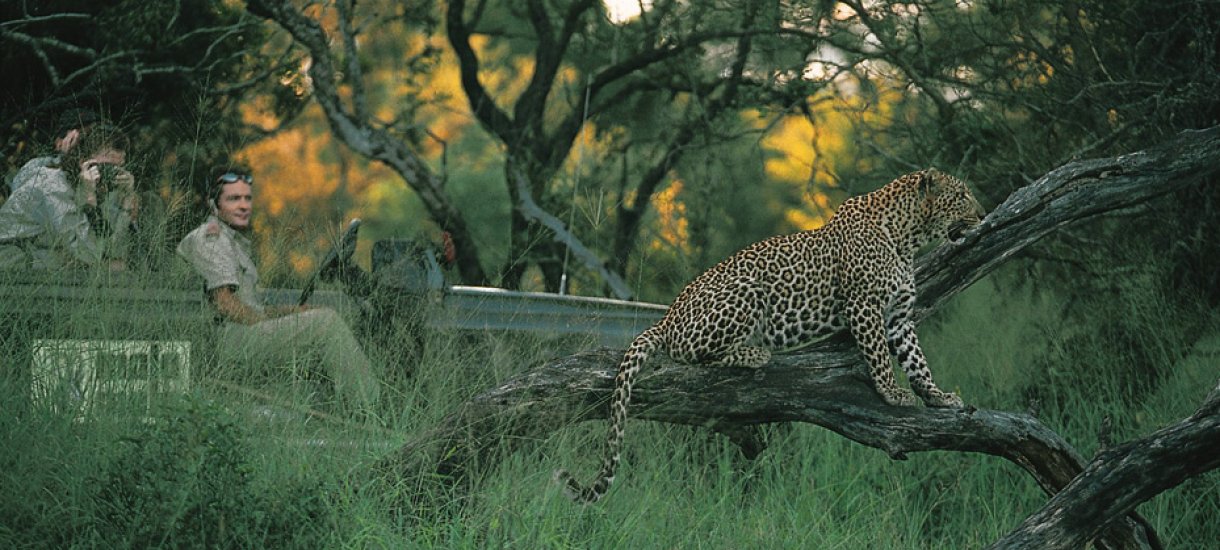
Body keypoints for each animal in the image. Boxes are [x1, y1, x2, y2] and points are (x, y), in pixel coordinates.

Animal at [558, 167, 985, 504]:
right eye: (962, 196)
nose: (982, 215)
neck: (907, 238)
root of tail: (666, 319)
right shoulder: (863, 305)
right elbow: (879, 357)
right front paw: (893, 393)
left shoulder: (898, 317)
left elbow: (917, 361)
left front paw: (938, 397)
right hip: (747, 290)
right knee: (694, 354)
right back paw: (755, 354)